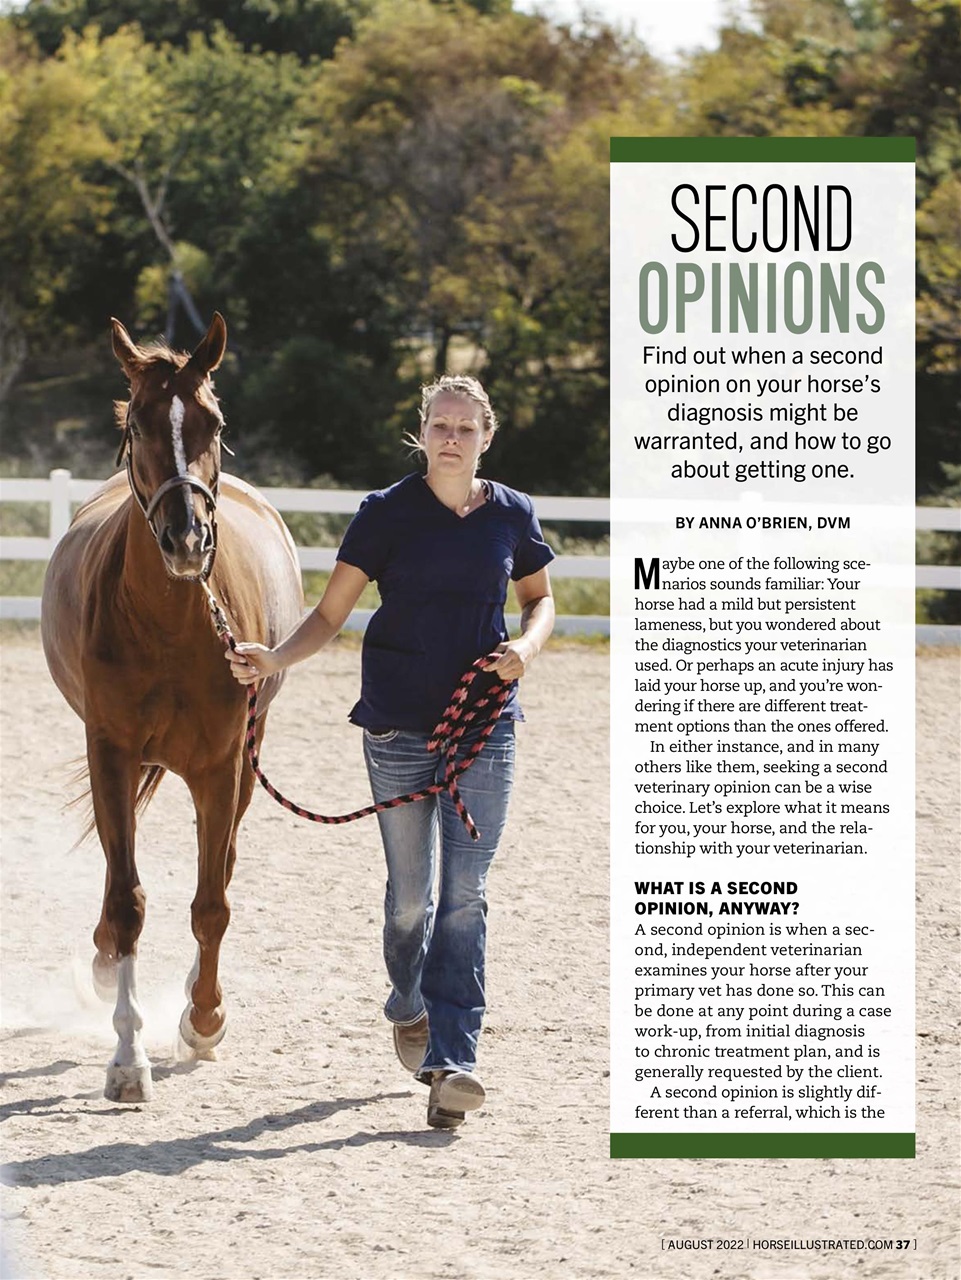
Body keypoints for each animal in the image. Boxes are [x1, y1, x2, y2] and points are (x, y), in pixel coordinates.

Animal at [40, 313, 304, 1103]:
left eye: (214, 421)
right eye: (140, 424)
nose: (187, 540)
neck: (168, 624)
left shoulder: (221, 767)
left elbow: (212, 900)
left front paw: (204, 1017)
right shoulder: (110, 751)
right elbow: (128, 900)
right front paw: (128, 1057)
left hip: (245, 762)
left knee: (222, 866)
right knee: (117, 883)